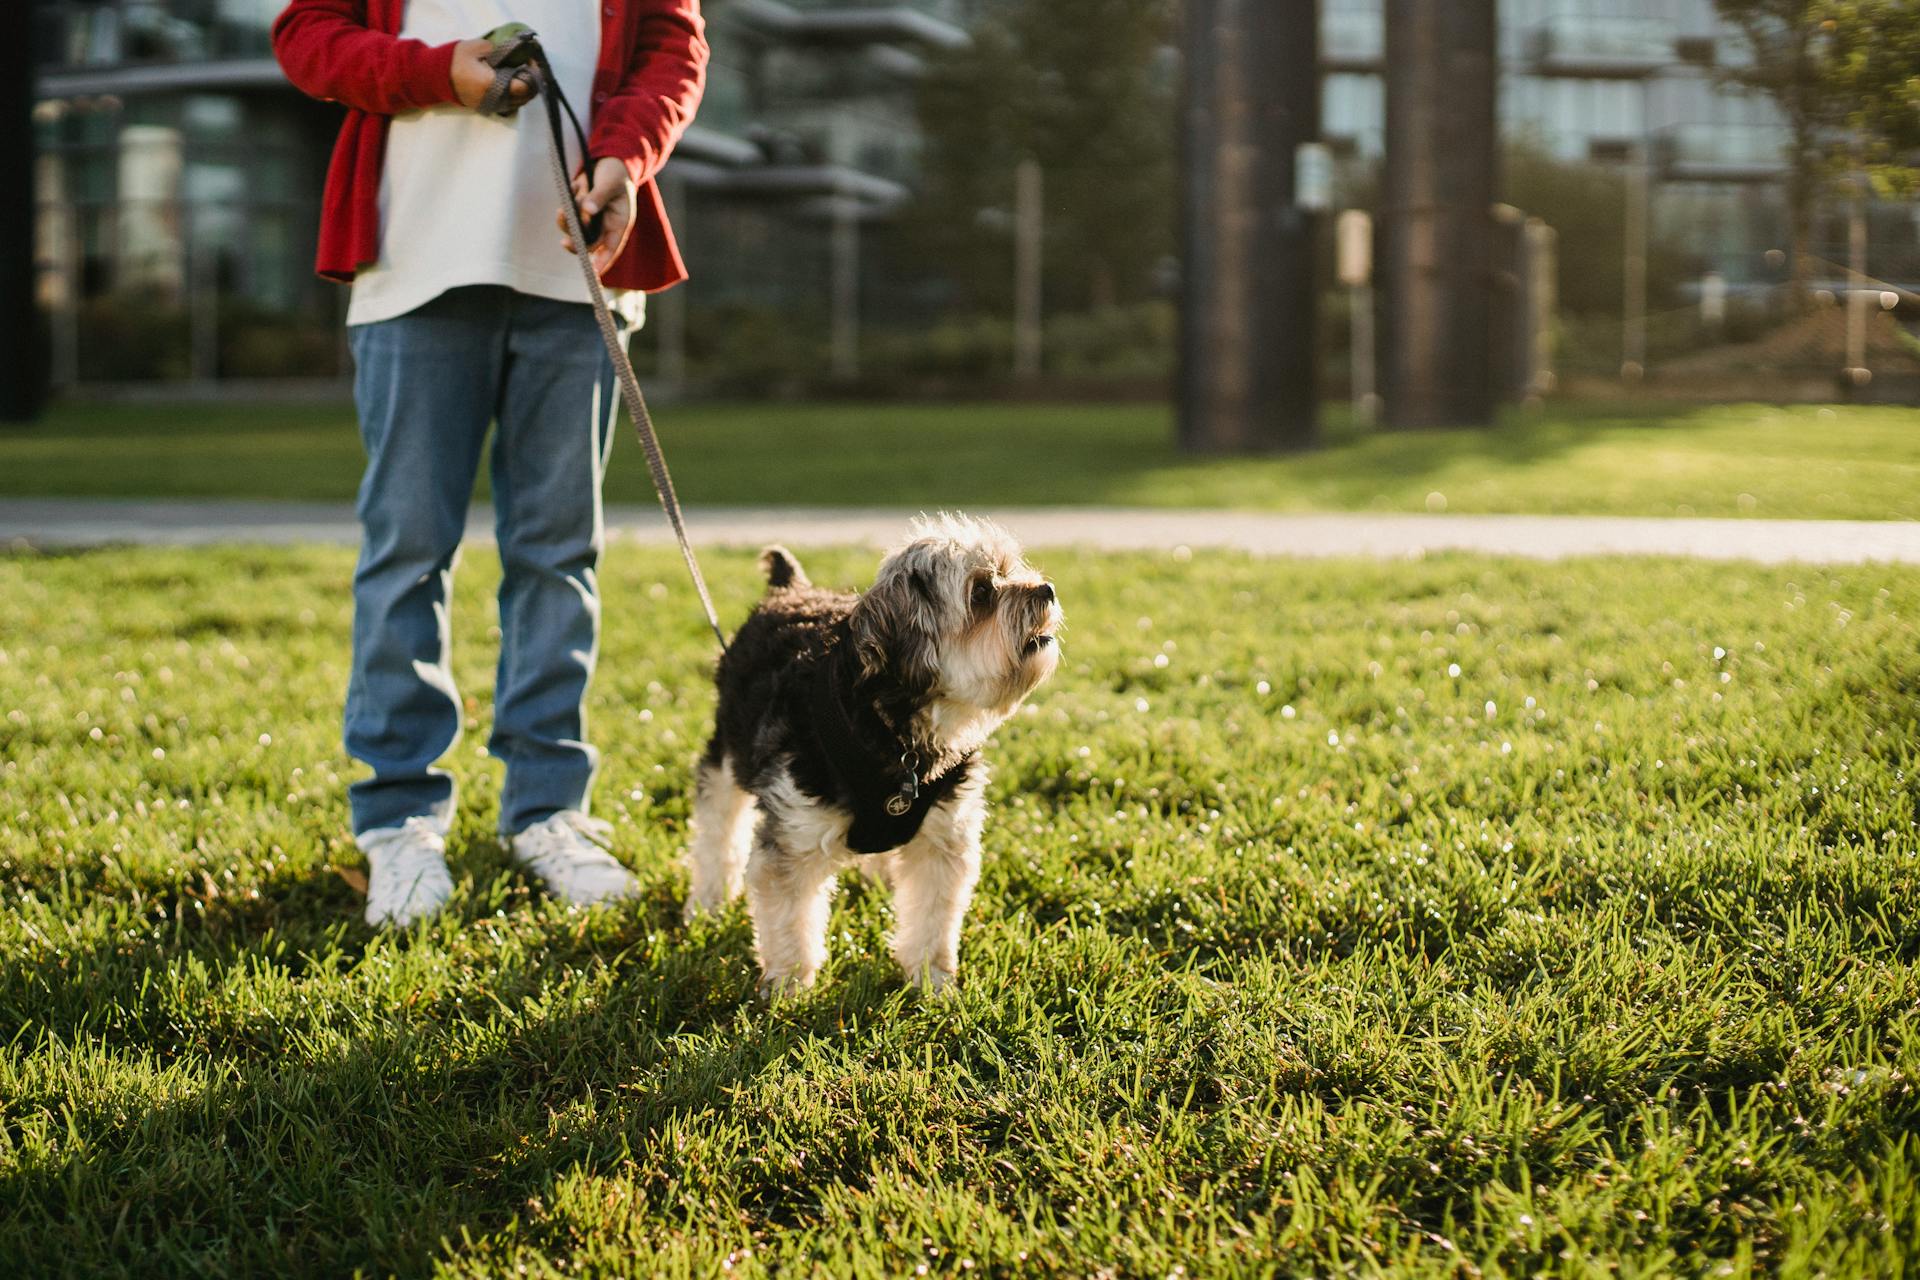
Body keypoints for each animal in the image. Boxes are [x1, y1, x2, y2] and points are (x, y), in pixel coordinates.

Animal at [679, 514, 1067, 997]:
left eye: (1010, 570)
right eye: (980, 592)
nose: (1047, 589)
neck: (896, 736)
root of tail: (789, 589)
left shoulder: (943, 837)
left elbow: (932, 918)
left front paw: (932, 981)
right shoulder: (794, 832)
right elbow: (788, 921)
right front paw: (789, 987)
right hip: (728, 750)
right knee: (717, 827)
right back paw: (707, 902)